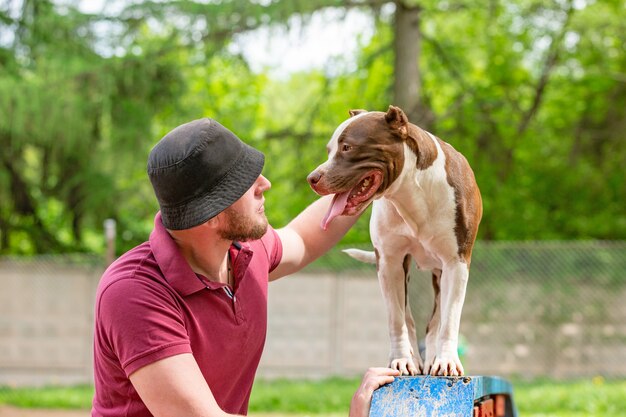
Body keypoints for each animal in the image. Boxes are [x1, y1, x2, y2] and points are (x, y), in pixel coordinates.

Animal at [304, 105, 480, 376]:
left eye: (347, 147)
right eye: (329, 150)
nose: (312, 178)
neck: (410, 194)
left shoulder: (456, 262)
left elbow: (449, 319)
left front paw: (447, 360)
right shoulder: (389, 263)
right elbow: (397, 320)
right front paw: (402, 360)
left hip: (441, 272)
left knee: (436, 321)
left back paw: (432, 358)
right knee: (409, 318)